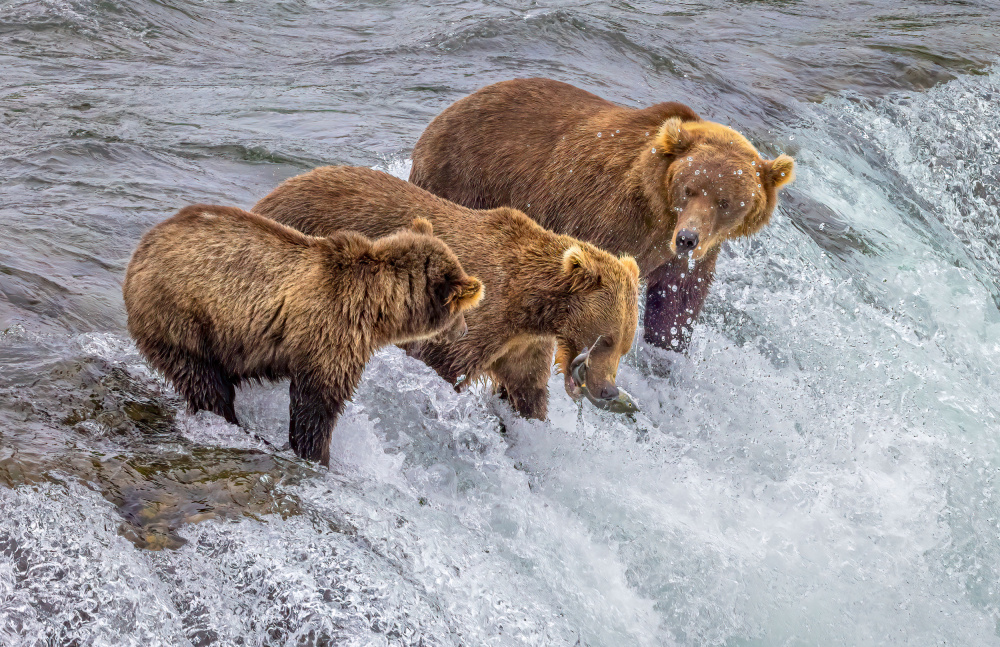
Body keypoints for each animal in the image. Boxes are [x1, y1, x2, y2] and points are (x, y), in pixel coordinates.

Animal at [123, 205, 482, 464]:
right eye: (459, 309)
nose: (464, 329)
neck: (377, 307)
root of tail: (141, 247)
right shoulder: (332, 332)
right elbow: (317, 402)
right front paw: (317, 454)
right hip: (181, 316)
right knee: (204, 381)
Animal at [252, 167, 640, 420]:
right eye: (605, 339)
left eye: (624, 345)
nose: (607, 389)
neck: (532, 305)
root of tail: (273, 193)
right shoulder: (479, 320)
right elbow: (445, 363)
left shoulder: (522, 345)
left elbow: (526, 391)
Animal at [408, 78, 796, 352]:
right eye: (690, 189)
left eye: (726, 202)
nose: (688, 238)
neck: (659, 213)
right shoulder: (609, 217)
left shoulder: (693, 255)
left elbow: (677, 302)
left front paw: (669, 345)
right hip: (466, 176)